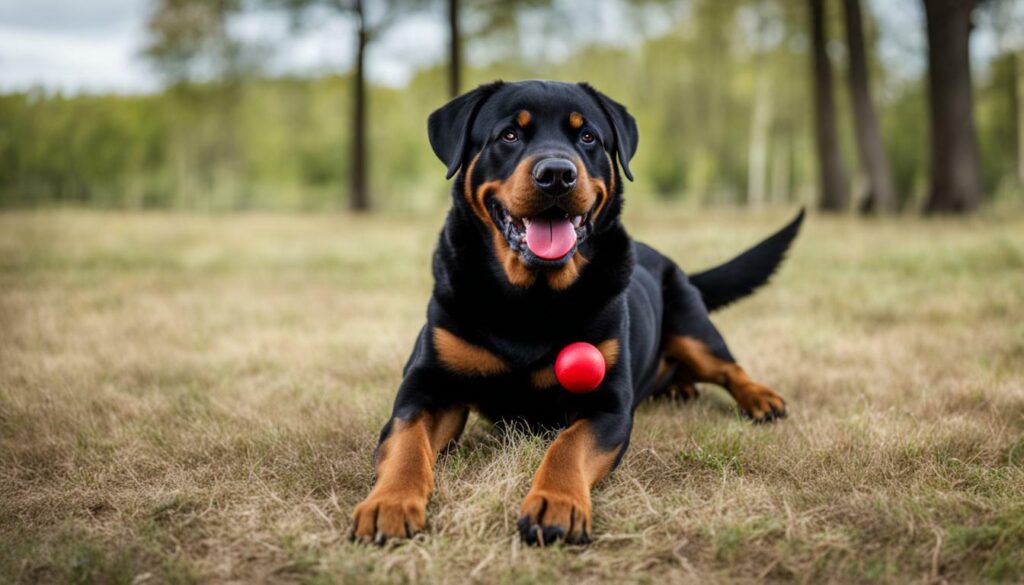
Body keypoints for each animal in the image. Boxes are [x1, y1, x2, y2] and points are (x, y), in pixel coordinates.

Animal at [350, 79, 798, 549]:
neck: (529, 297)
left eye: (587, 137)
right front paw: (390, 502)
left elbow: (567, 445)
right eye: (509, 134)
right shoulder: (428, 386)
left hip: (691, 322)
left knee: (726, 366)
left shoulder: (607, 405)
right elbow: (406, 441)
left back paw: (760, 397)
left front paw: (555, 502)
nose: (557, 174)